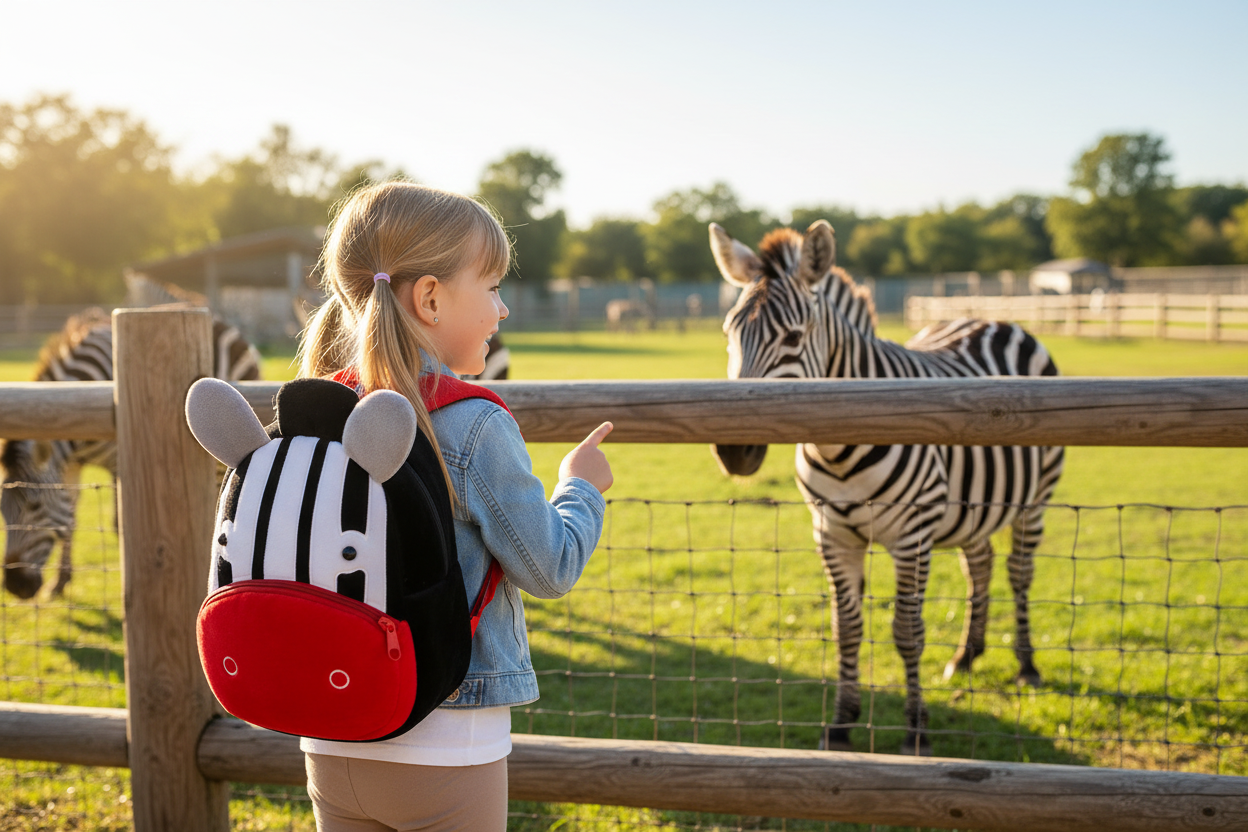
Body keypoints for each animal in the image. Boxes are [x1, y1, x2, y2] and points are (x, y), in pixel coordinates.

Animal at [2, 306, 261, 599]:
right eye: (2, 510)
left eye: (34, 507)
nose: (15, 587)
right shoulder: (70, 466)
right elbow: (69, 518)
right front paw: (60, 582)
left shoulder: (118, 461)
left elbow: (118, 523)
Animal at [709, 220, 1064, 755]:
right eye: (730, 332)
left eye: (793, 337)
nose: (734, 450)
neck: (837, 450)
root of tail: (989, 319)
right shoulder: (831, 534)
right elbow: (847, 628)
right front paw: (841, 724)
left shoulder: (913, 535)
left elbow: (908, 631)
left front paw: (916, 729)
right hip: (973, 506)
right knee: (979, 565)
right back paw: (967, 655)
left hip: (1035, 499)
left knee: (1020, 573)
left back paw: (1026, 665)